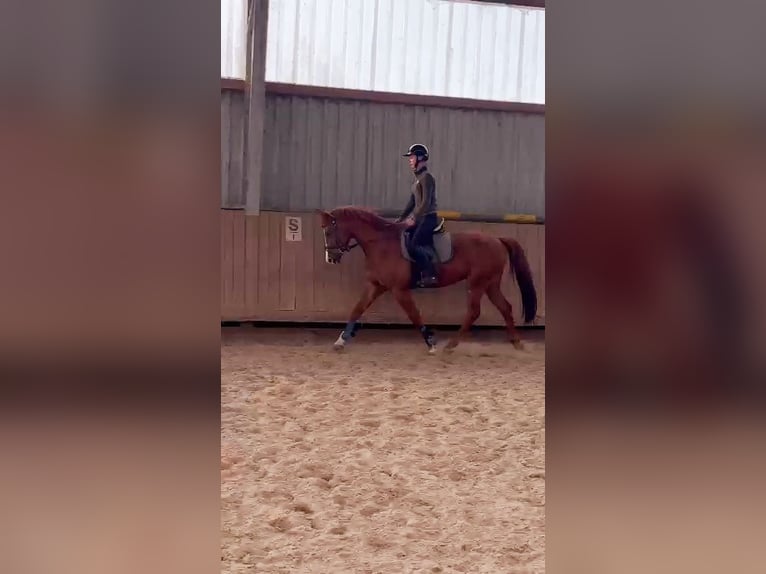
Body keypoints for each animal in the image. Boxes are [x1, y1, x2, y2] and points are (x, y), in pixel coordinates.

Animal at [318, 206, 540, 352]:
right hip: (490, 283)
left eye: (328, 231)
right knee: (505, 307)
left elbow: (414, 315)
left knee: (474, 311)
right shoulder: (376, 286)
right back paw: (516, 342)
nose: (331, 258)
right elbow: (357, 309)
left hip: (478, 282)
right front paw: (341, 341)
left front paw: (431, 343)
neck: (381, 244)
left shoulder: (399, 290)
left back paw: (451, 345)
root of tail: (497, 240)